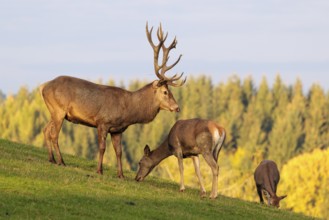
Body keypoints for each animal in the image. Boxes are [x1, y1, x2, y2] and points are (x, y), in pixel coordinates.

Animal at [39, 23, 184, 178]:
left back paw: (51, 159)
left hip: (54, 111)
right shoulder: (102, 122)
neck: (129, 110)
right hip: (59, 110)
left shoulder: (117, 130)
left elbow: (119, 152)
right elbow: (102, 148)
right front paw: (99, 170)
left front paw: (121, 175)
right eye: (165, 92)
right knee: (54, 135)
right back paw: (61, 161)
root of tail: (43, 86)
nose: (177, 107)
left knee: (46, 130)